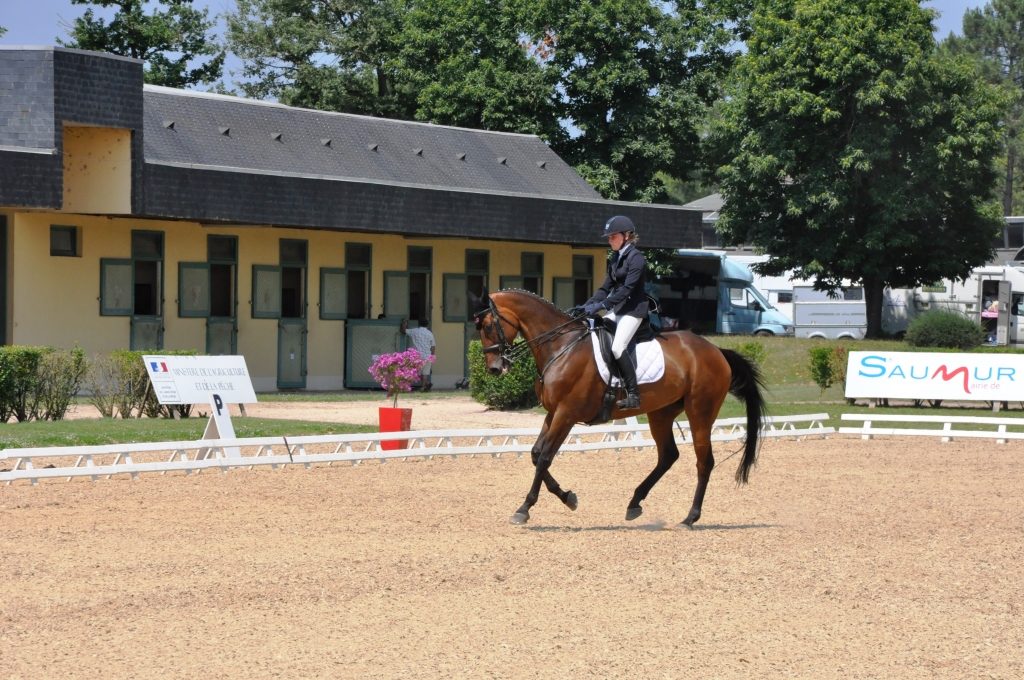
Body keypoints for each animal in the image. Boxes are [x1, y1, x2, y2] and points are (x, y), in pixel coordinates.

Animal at [475, 288, 765, 528]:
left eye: (488, 326)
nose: (494, 368)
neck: (561, 347)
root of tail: (716, 350)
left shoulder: (566, 413)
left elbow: (545, 457)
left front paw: (524, 509)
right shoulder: (553, 413)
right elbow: (536, 454)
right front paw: (568, 497)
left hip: (700, 413)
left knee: (704, 462)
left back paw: (690, 518)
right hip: (661, 413)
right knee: (668, 455)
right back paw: (635, 503)